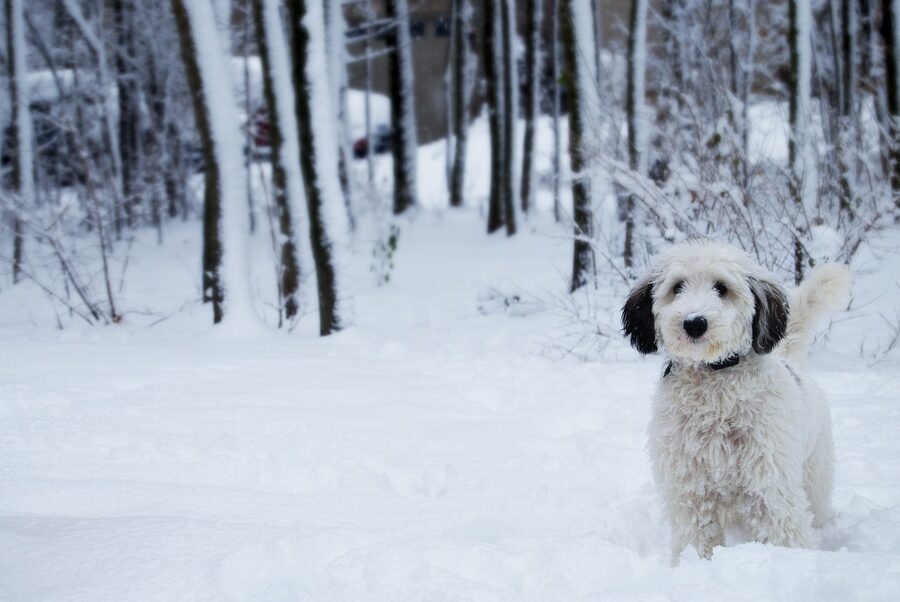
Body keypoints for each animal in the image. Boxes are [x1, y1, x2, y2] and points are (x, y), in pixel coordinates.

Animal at [624, 239, 848, 564]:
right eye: (677, 287)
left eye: (721, 287)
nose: (694, 323)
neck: (713, 380)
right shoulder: (689, 486)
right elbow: (696, 535)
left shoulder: (770, 481)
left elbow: (782, 530)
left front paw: (789, 563)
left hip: (815, 476)